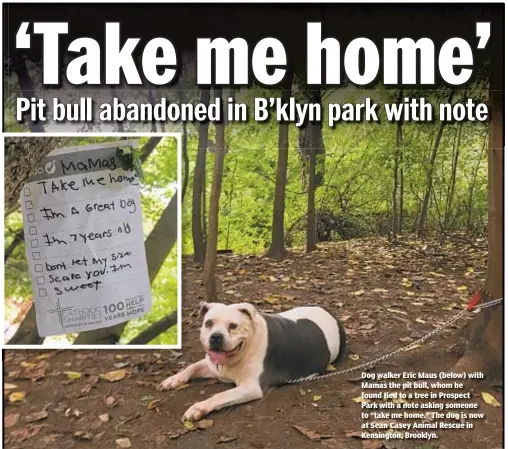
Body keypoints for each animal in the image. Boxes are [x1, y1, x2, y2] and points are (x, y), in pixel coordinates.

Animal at [159, 300, 348, 420]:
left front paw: (198, 408)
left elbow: (220, 395)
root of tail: (331, 313)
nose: (216, 336)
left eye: (233, 326)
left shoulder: (251, 387)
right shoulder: (211, 365)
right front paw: (173, 380)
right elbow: (190, 367)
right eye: (208, 323)